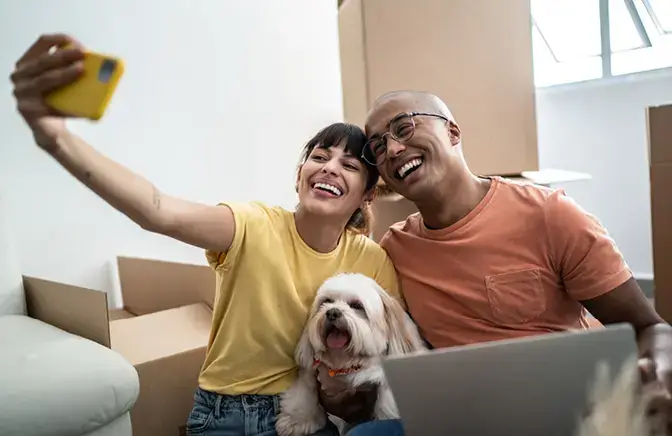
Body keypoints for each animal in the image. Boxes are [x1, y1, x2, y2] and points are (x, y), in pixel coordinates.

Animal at [274, 274, 426, 434]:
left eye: (357, 306)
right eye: (326, 301)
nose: (332, 312)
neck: (345, 363)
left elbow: (386, 405)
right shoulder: (311, 372)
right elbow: (304, 393)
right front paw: (297, 420)